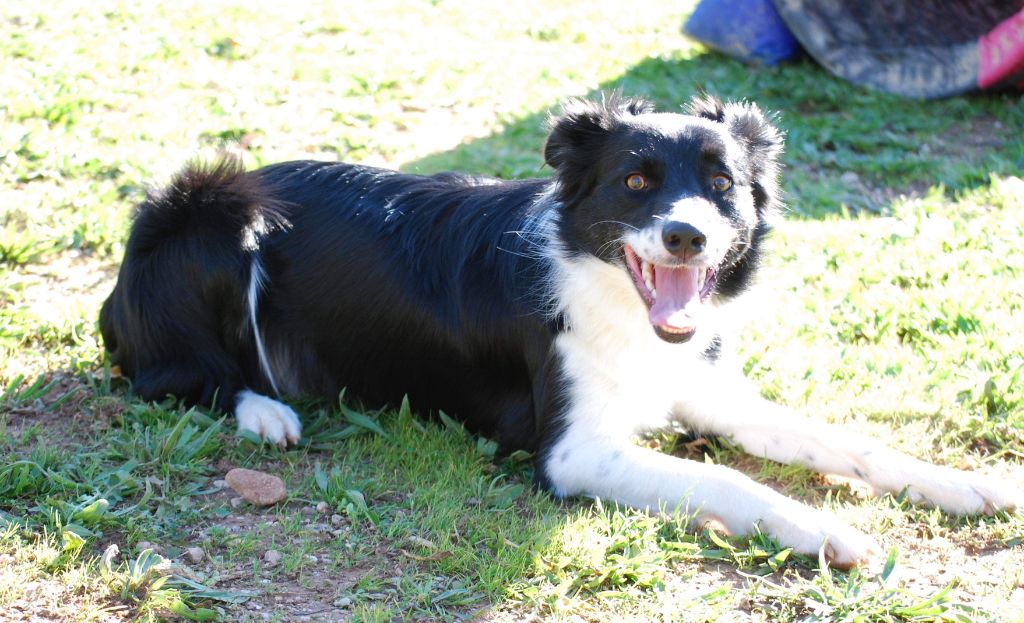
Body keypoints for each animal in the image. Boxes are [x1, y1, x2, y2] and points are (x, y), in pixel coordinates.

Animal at [99, 94, 1019, 565]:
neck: (610, 290)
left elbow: (847, 441)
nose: (686, 236)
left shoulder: (697, 386)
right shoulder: (572, 451)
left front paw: (967, 485)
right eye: (636, 180)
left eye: (723, 185)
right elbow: (731, 479)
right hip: (216, 207)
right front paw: (832, 532)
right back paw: (266, 410)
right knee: (174, 375)